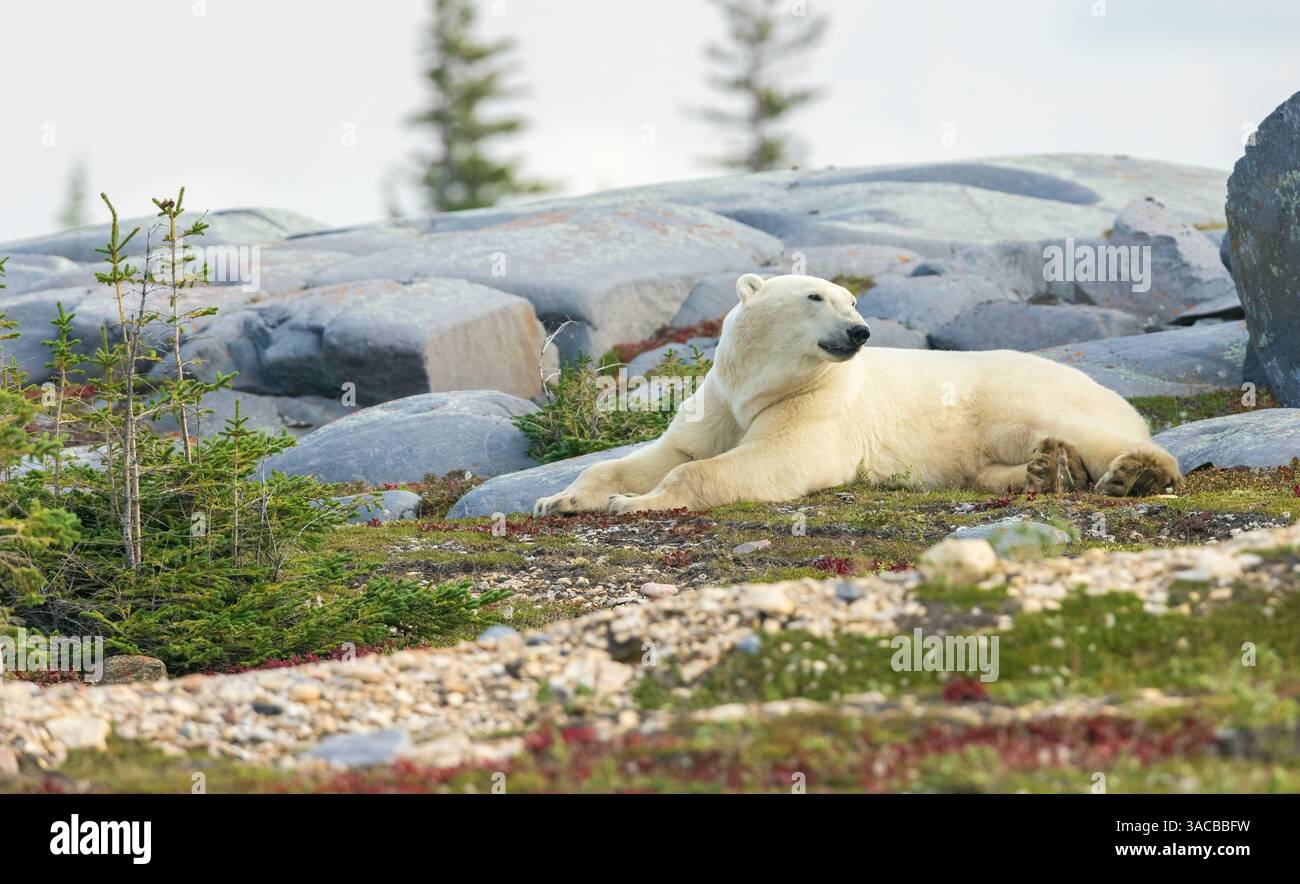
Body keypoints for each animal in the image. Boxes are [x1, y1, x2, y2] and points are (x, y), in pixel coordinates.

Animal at [533, 273, 1181, 516]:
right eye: (816, 297)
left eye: (853, 299)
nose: (860, 331)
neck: (759, 386)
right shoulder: (718, 404)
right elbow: (668, 454)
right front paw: (560, 499)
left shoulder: (818, 407)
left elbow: (776, 457)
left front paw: (634, 504)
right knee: (991, 466)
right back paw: (1048, 470)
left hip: (1013, 393)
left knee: (1074, 428)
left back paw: (1134, 473)